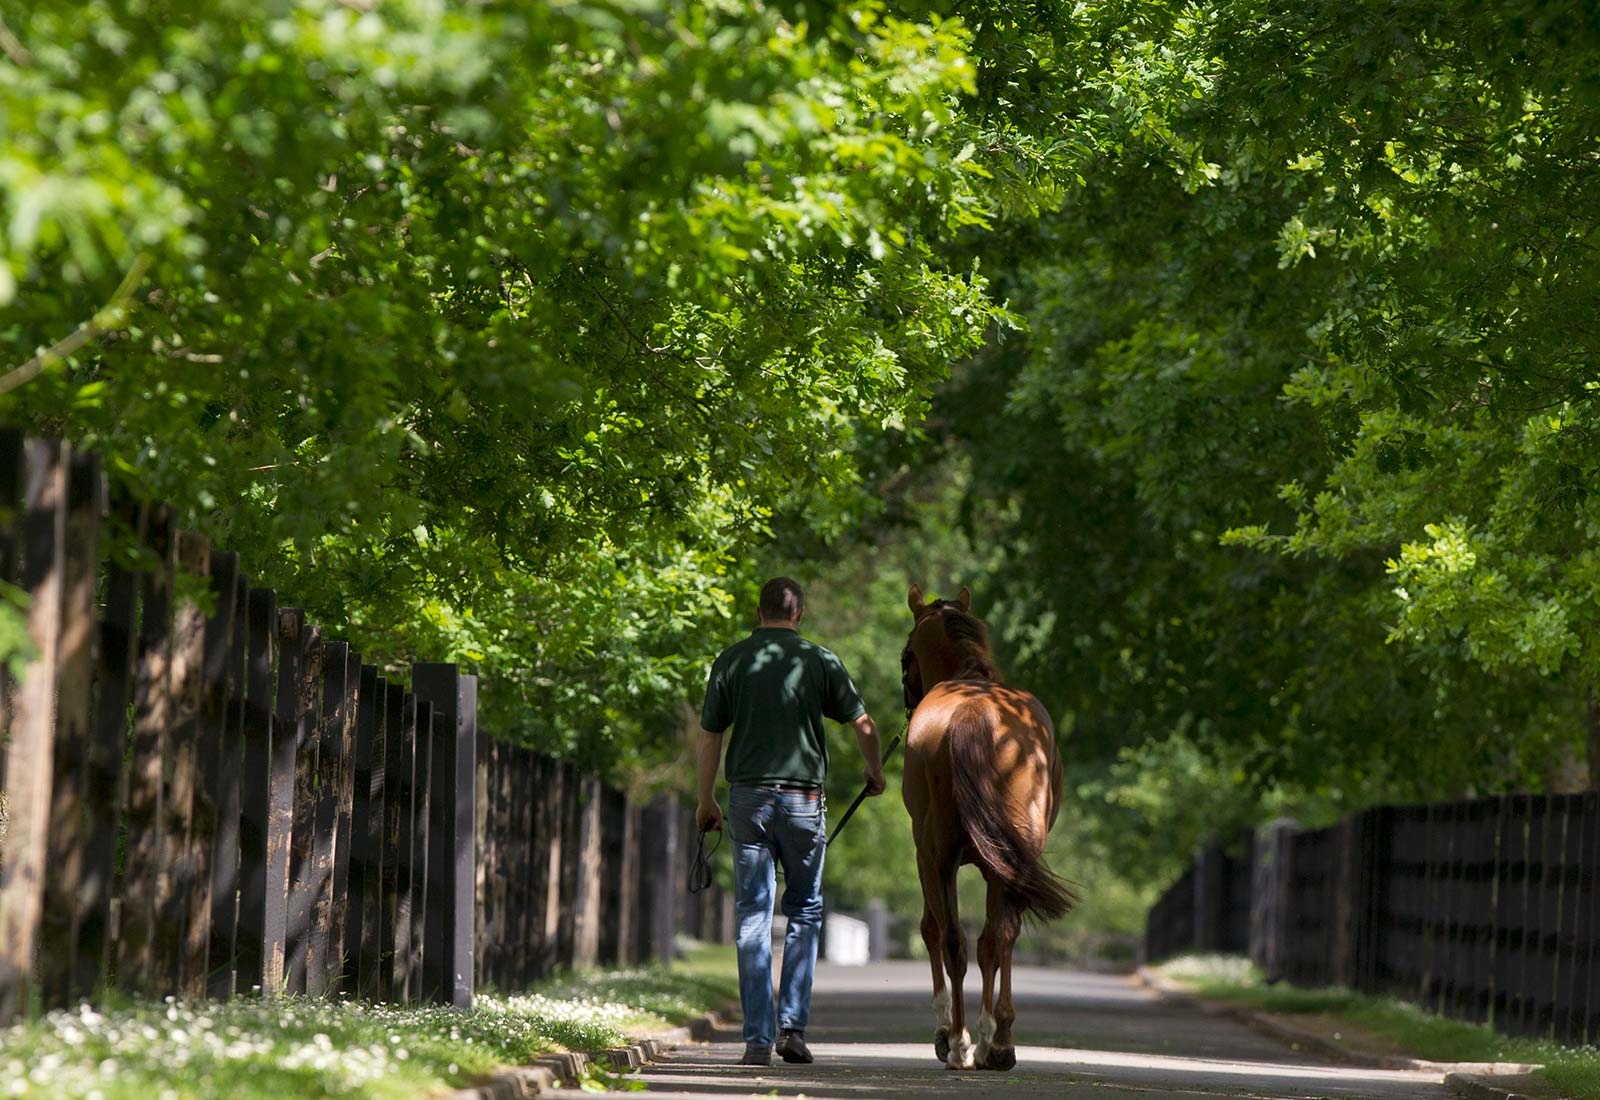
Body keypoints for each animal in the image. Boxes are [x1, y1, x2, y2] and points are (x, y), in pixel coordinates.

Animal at [900, 583, 1073, 1071]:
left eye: (906, 655)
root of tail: (977, 711)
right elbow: (992, 940)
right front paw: (988, 1036)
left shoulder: (925, 856)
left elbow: (932, 930)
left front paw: (945, 1032)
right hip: (1013, 858)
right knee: (998, 937)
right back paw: (998, 1043)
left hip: (939, 856)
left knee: (956, 941)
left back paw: (960, 1044)